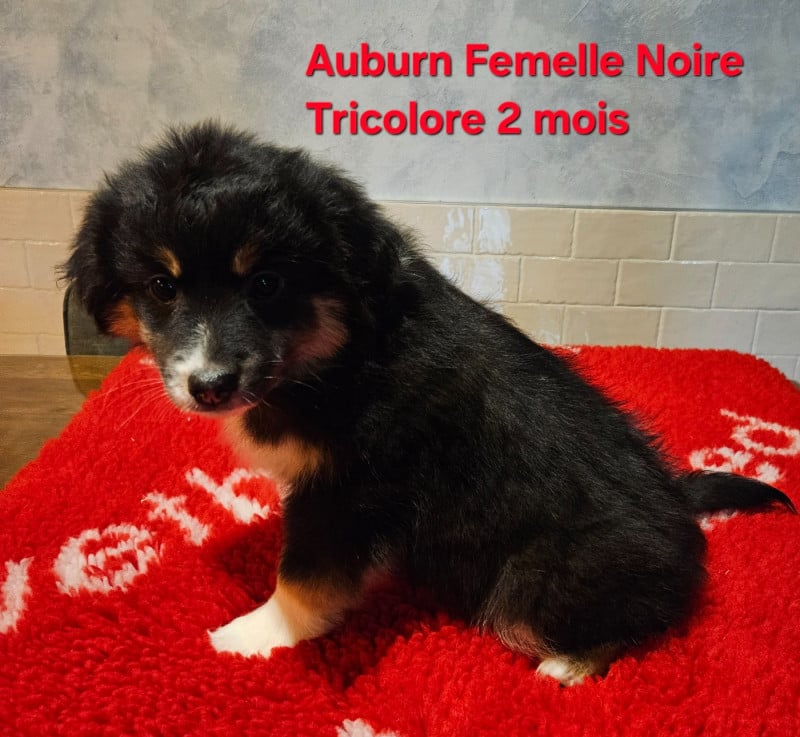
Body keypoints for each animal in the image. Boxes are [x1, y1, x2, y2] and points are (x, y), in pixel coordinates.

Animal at [64, 121, 795, 685]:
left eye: (267, 283)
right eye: (161, 287)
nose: (210, 383)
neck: (338, 357)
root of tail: (680, 513)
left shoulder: (349, 491)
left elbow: (303, 577)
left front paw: (253, 635)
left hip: (533, 580)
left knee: (644, 619)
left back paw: (570, 664)